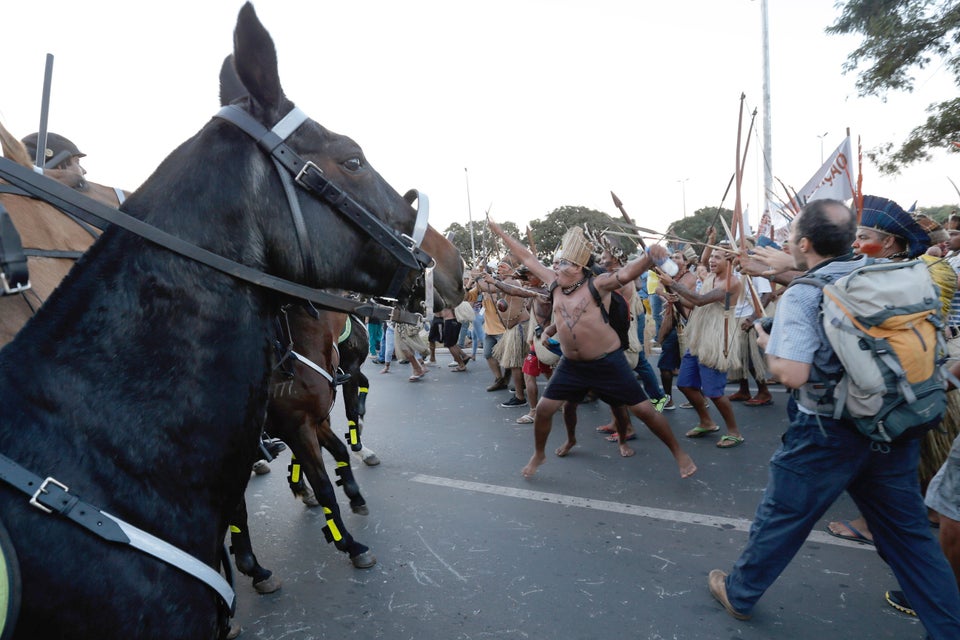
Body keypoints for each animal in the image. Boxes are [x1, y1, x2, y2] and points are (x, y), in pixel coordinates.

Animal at [0, 2, 462, 636]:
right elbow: (320, 477)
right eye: (353, 159)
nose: (451, 263)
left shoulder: (304, 420)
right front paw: (345, 539)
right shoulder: (293, 424)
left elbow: (334, 458)